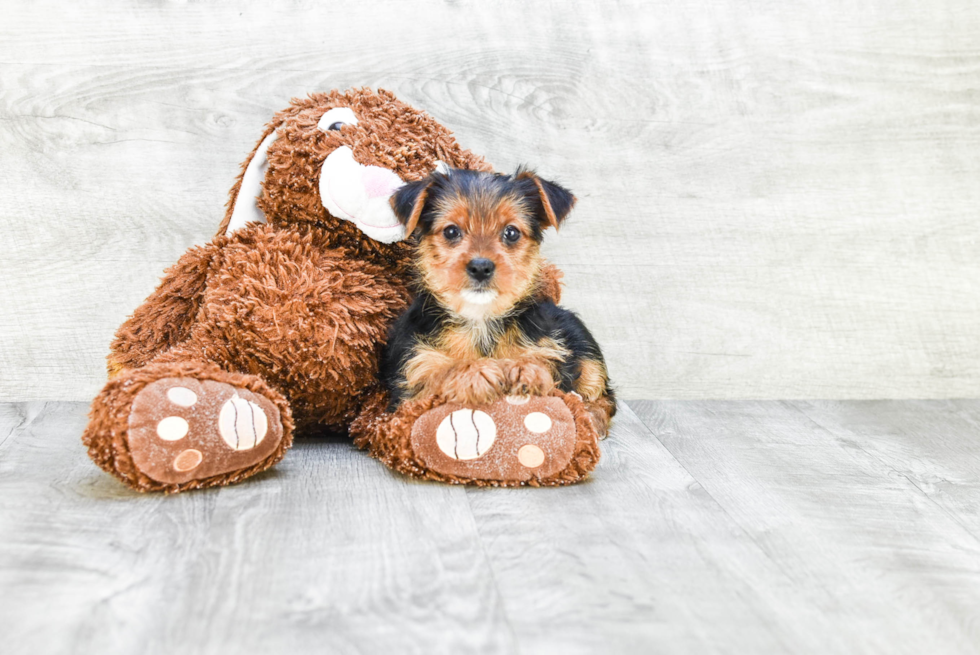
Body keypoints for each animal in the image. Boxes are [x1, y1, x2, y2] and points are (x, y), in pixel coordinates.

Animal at [378, 167, 616, 438]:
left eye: (511, 233)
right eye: (451, 231)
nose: (481, 267)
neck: (481, 319)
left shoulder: (553, 351)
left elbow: (545, 365)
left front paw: (527, 368)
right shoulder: (412, 376)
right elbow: (438, 373)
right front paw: (474, 372)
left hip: (582, 341)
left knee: (604, 396)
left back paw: (593, 419)